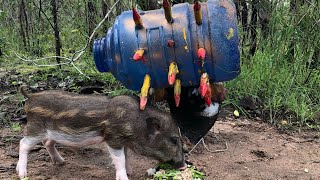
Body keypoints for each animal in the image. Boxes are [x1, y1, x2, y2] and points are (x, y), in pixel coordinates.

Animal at [17, 86, 186, 179]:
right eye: (174, 140)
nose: (184, 166)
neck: (136, 123)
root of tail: (30, 96)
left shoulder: (123, 141)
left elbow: (127, 157)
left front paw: (130, 172)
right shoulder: (113, 138)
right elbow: (119, 159)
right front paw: (124, 177)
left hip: (51, 132)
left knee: (47, 142)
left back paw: (61, 162)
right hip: (35, 128)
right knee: (23, 143)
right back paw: (22, 174)